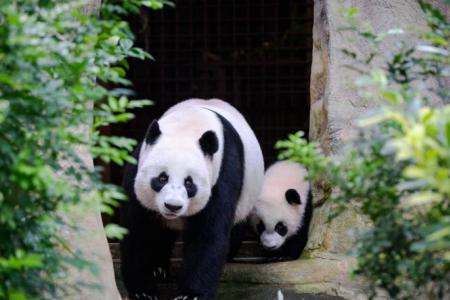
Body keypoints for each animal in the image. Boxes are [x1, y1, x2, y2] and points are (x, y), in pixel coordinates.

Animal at [121, 99, 266, 300]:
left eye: (189, 183)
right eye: (162, 178)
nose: (172, 206)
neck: (188, 126)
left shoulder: (222, 173)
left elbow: (207, 235)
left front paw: (191, 295)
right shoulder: (137, 166)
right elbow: (138, 231)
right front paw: (143, 290)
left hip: (246, 195)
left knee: (236, 226)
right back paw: (158, 268)